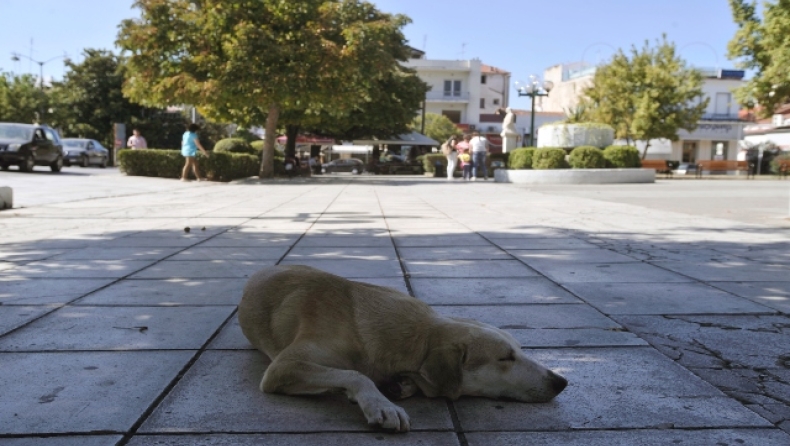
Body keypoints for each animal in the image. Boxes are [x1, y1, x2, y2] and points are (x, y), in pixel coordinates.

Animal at [237, 264, 568, 432]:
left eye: (520, 350)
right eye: (505, 358)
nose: (561, 381)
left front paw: (401, 385)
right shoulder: (283, 368)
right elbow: (356, 374)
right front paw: (380, 403)